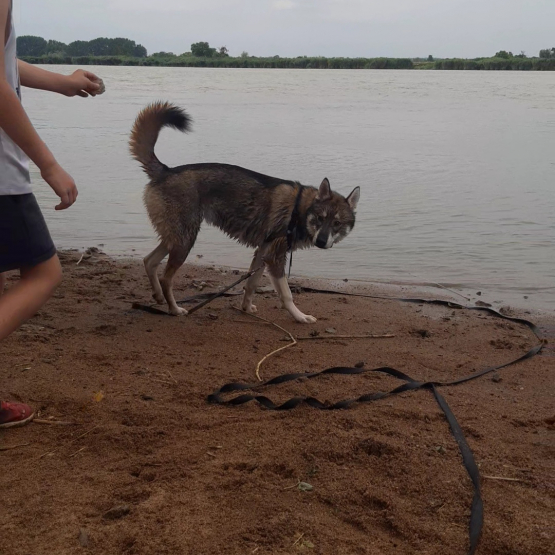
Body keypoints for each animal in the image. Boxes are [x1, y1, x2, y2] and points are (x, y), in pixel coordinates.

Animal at [132, 102, 362, 324]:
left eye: (337, 223)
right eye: (320, 219)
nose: (322, 242)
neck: (299, 210)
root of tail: (165, 170)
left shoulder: (262, 254)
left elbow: (251, 284)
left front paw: (245, 307)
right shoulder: (275, 259)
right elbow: (286, 295)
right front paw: (299, 316)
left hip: (176, 238)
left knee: (149, 261)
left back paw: (158, 297)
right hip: (184, 241)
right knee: (165, 278)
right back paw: (173, 309)